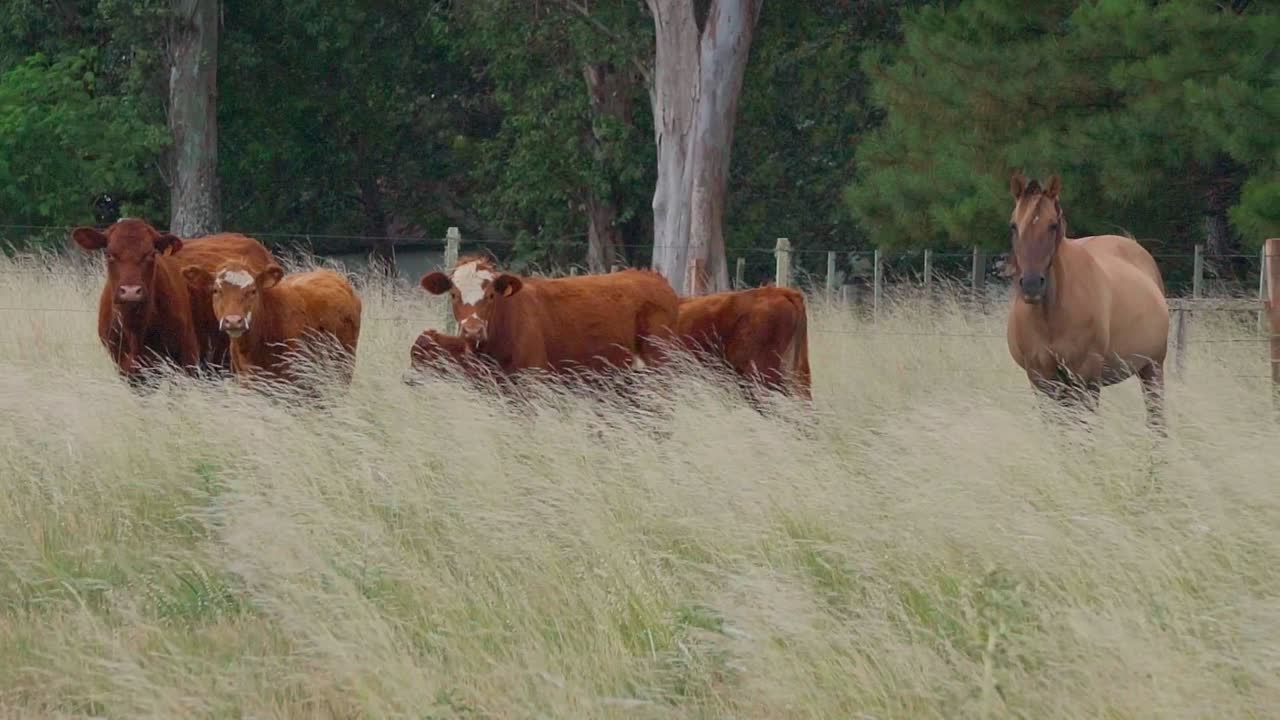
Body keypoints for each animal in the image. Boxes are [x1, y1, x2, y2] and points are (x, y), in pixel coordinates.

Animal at [1004, 172, 1169, 431]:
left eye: (1052, 225)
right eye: (1013, 226)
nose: (1031, 285)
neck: (1050, 317)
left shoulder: (1085, 377)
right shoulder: (1041, 378)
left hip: (1152, 367)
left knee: (1156, 420)